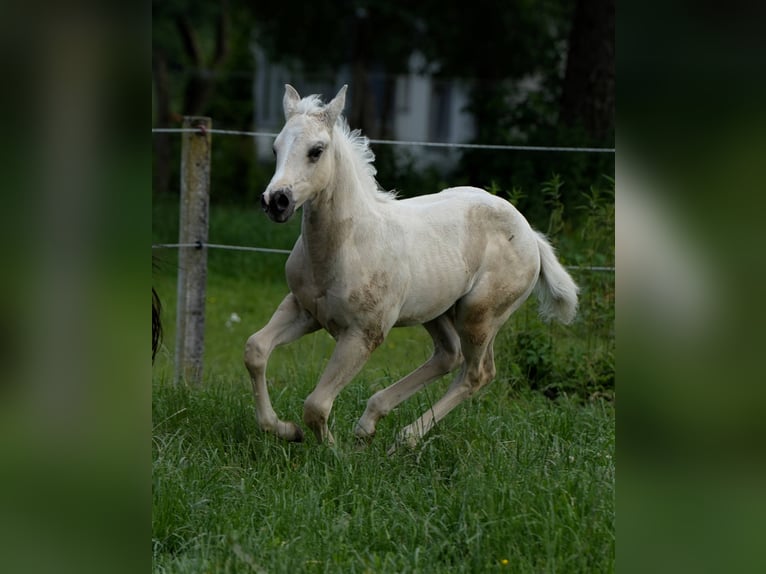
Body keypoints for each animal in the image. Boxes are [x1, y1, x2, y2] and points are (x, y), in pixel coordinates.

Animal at [243, 85, 580, 452]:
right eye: (275, 147)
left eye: (316, 151)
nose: (276, 201)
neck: (347, 246)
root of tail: (530, 234)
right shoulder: (304, 311)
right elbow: (255, 350)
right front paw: (285, 430)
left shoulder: (364, 334)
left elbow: (316, 405)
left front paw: (334, 452)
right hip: (438, 310)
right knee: (449, 356)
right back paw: (370, 423)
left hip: (479, 315)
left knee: (477, 373)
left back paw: (403, 438)